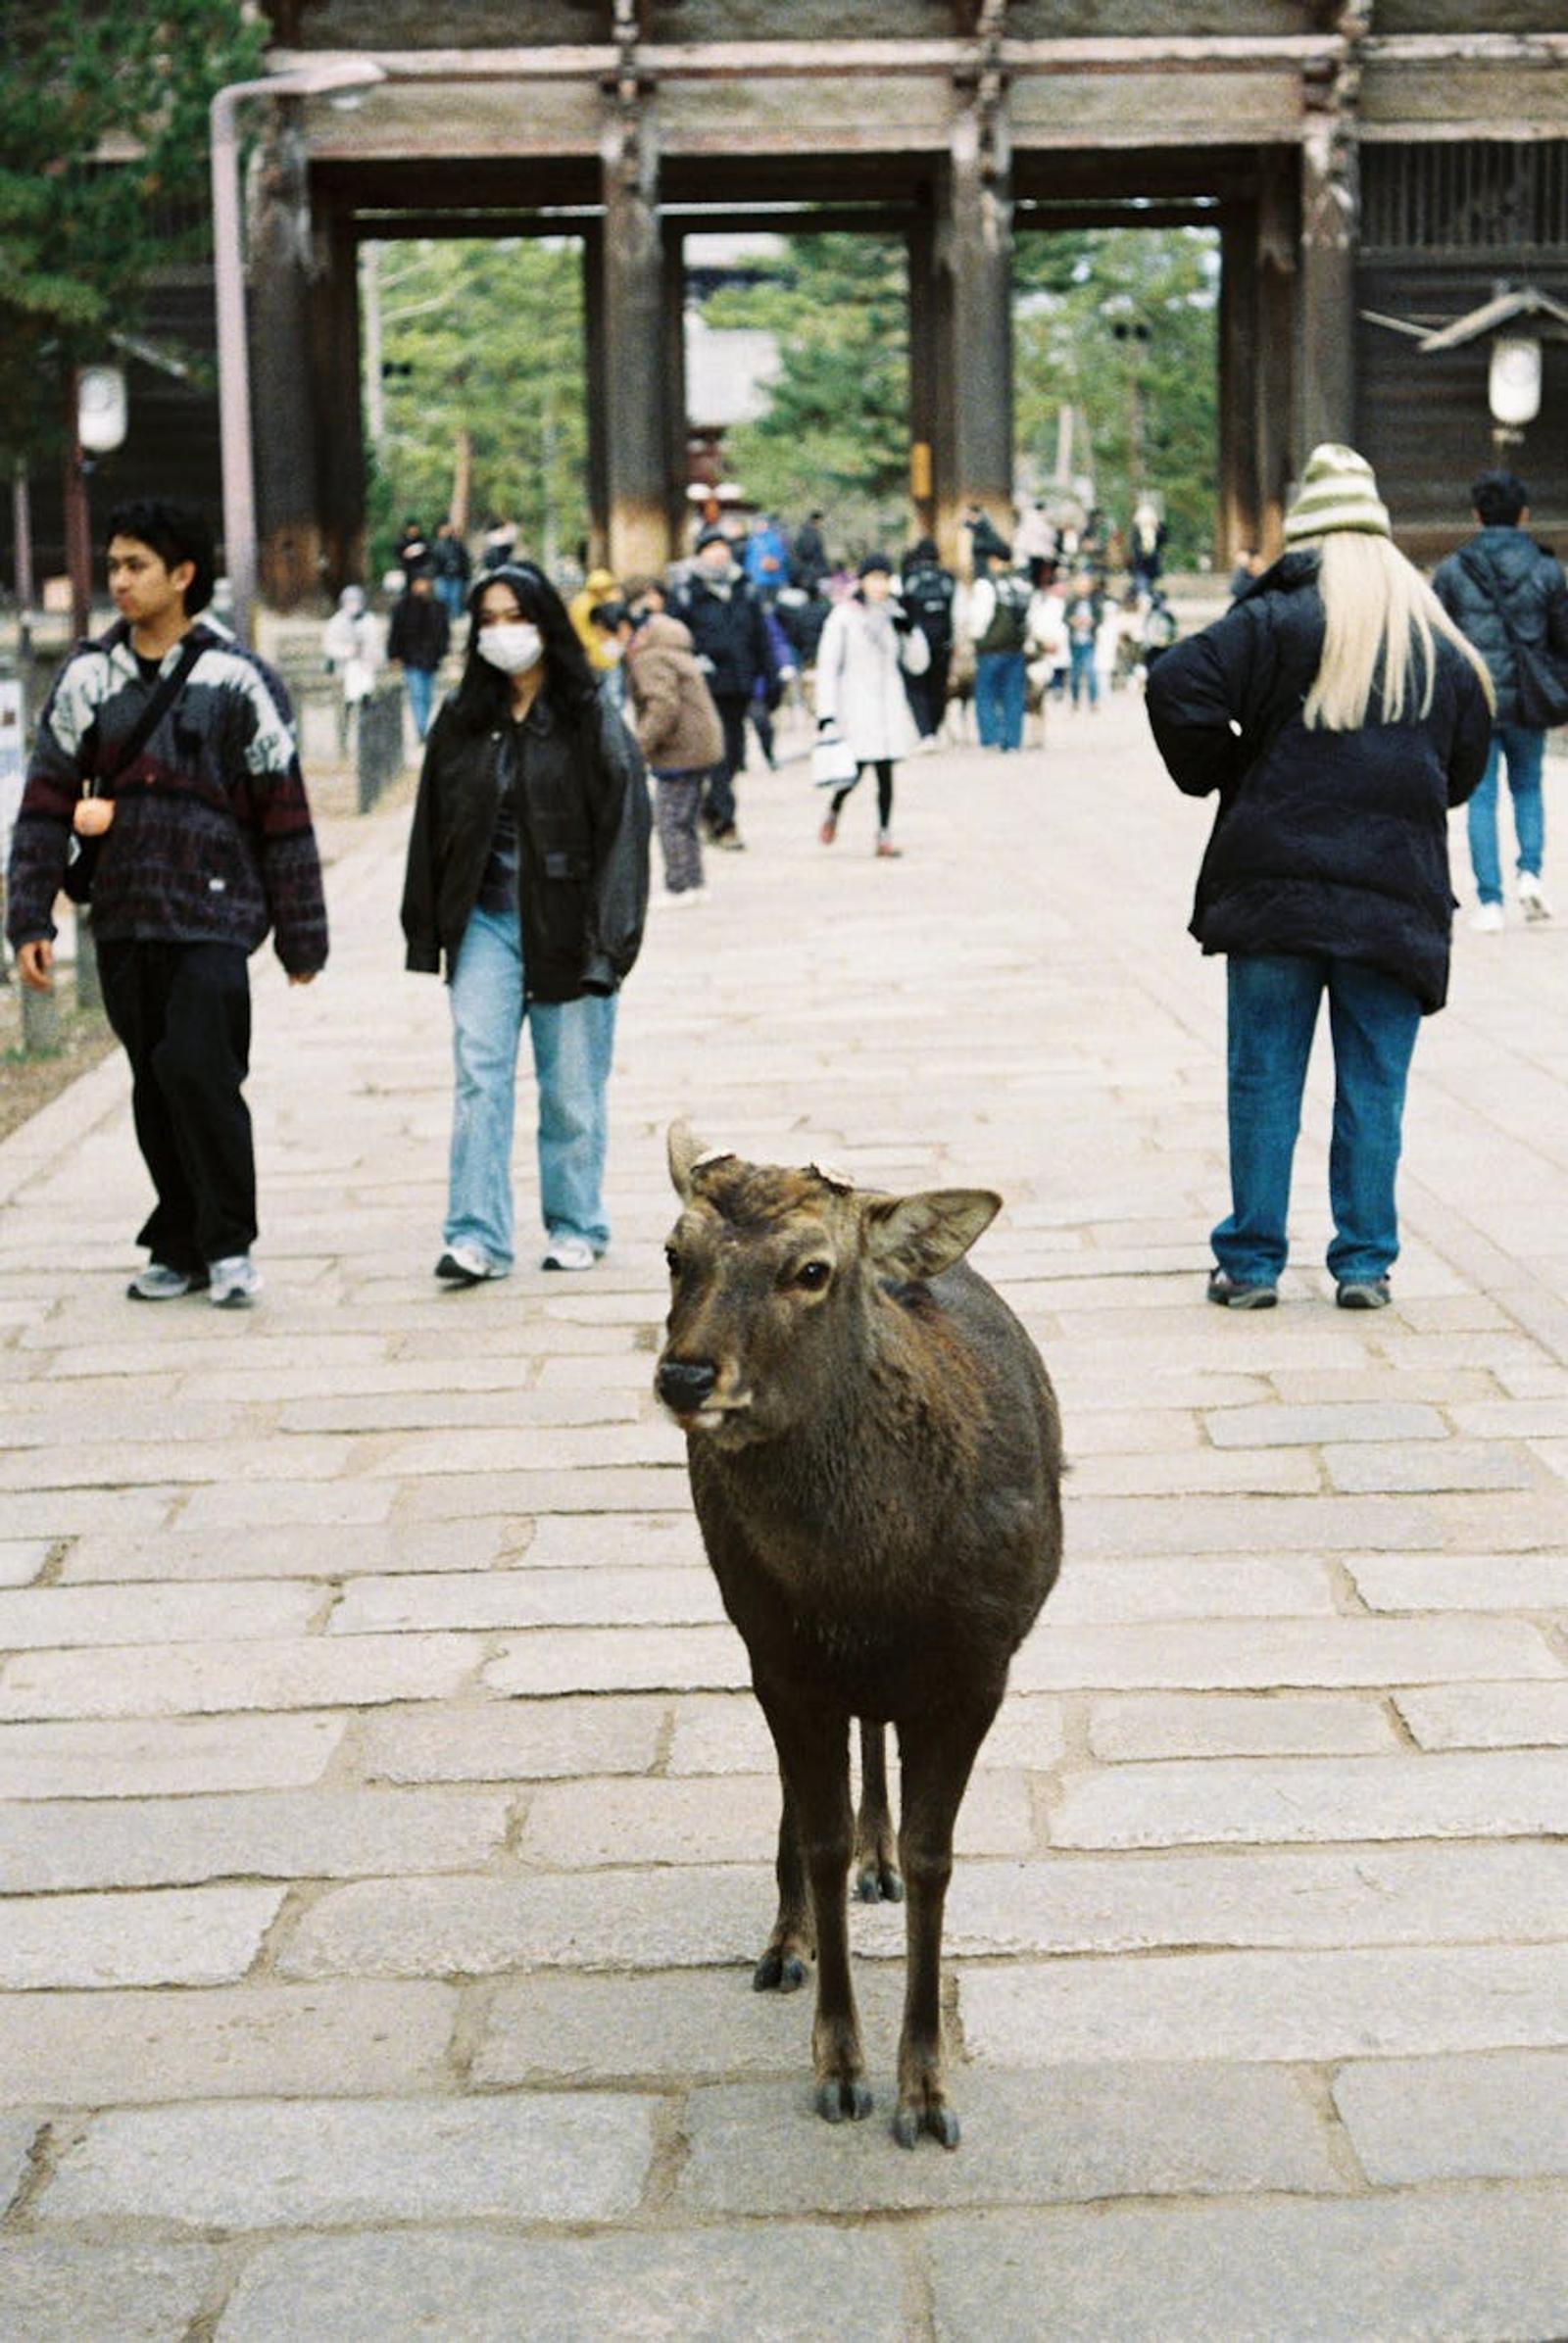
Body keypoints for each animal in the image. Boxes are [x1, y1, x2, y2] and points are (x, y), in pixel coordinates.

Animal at [654, 1123, 1063, 2147]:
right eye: (674, 1251)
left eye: (812, 1269)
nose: (684, 1373)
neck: (868, 1585)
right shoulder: (781, 1658)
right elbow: (821, 1839)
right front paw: (840, 2068)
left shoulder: (978, 1668)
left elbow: (932, 1857)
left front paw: (926, 2092)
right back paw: (787, 1938)